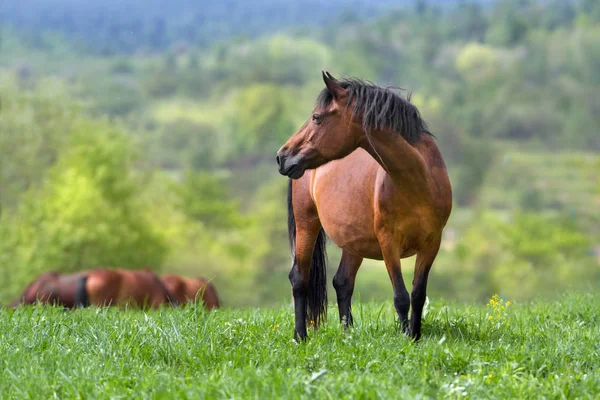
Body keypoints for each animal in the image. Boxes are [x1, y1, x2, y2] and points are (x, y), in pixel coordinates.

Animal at [276, 72, 450, 340]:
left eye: (316, 117)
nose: (282, 157)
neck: (418, 182)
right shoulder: (389, 243)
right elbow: (401, 297)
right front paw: (406, 339)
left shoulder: (432, 243)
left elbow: (418, 295)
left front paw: (415, 336)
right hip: (307, 224)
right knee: (299, 279)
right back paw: (300, 336)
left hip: (353, 241)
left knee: (342, 281)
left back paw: (347, 333)